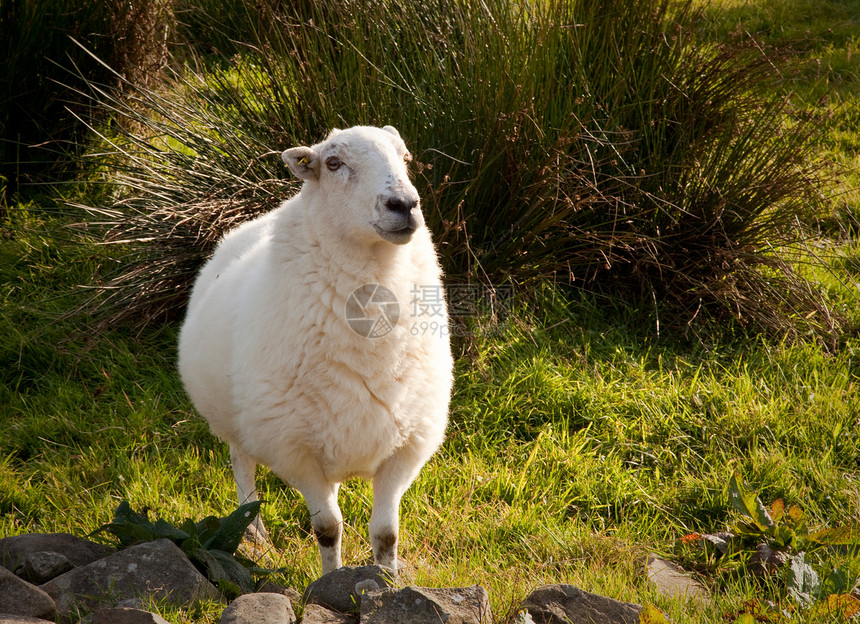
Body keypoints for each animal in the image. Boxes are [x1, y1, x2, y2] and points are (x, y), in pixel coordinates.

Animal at [178, 123, 454, 576]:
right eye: (334, 163)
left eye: (405, 157)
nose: (404, 204)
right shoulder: (295, 450)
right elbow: (328, 528)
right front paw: (330, 579)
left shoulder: (406, 446)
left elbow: (386, 532)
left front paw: (388, 579)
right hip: (239, 420)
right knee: (242, 463)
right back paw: (253, 532)